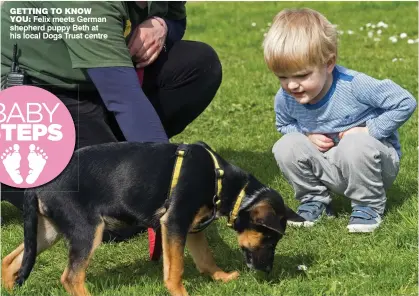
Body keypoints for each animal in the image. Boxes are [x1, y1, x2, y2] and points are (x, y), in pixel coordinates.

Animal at [1, 142, 304, 296]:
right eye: (269, 238)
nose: (267, 271)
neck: (222, 180)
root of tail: (39, 184)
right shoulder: (175, 222)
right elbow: (176, 269)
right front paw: (180, 293)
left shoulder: (192, 227)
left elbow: (205, 258)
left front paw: (222, 277)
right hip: (86, 230)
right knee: (71, 277)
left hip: (48, 229)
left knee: (12, 259)